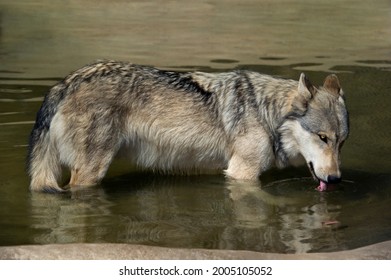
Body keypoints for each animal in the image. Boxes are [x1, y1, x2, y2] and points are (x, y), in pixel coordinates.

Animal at [27, 60, 350, 192]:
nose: (335, 179)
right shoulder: (241, 174)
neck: (265, 112)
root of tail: (66, 82)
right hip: (90, 174)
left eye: (340, 142)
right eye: (322, 137)